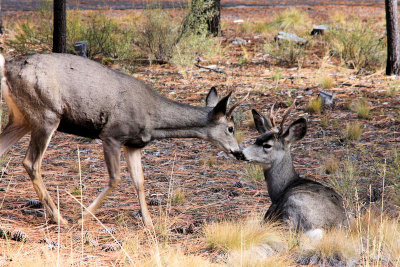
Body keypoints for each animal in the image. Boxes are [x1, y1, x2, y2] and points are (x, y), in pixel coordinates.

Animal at [0, 53, 248, 227]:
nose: (239, 152)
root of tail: (7, 67)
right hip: (46, 114)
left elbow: (139, 182)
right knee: (31, 162)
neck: (154, 119)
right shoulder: (112, 134)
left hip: (21, 118)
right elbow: (115, 178)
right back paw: (59, 218)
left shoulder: (133, 144)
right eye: (231, 128)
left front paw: (149, 223)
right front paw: (82, 217)